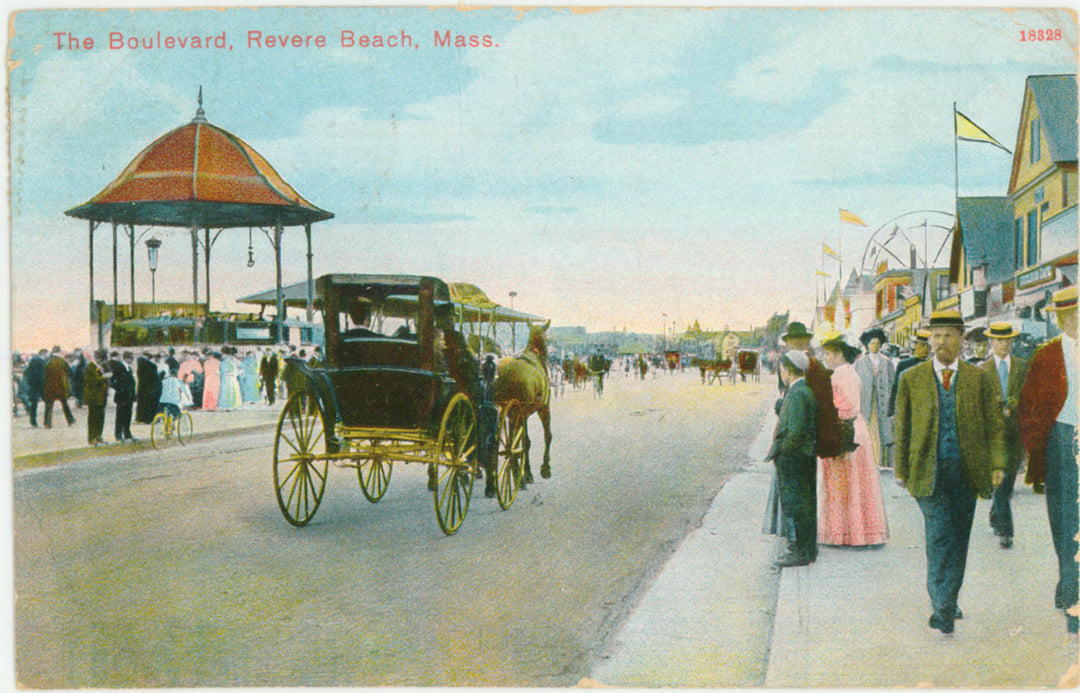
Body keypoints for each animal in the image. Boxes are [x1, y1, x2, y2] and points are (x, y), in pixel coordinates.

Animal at [494, 319, 552, 485]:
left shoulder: (516, 413)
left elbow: (521, 441)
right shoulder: (543, 407)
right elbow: (544, 436)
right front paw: (541, 469)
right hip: (518, 411)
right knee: (514, 442)